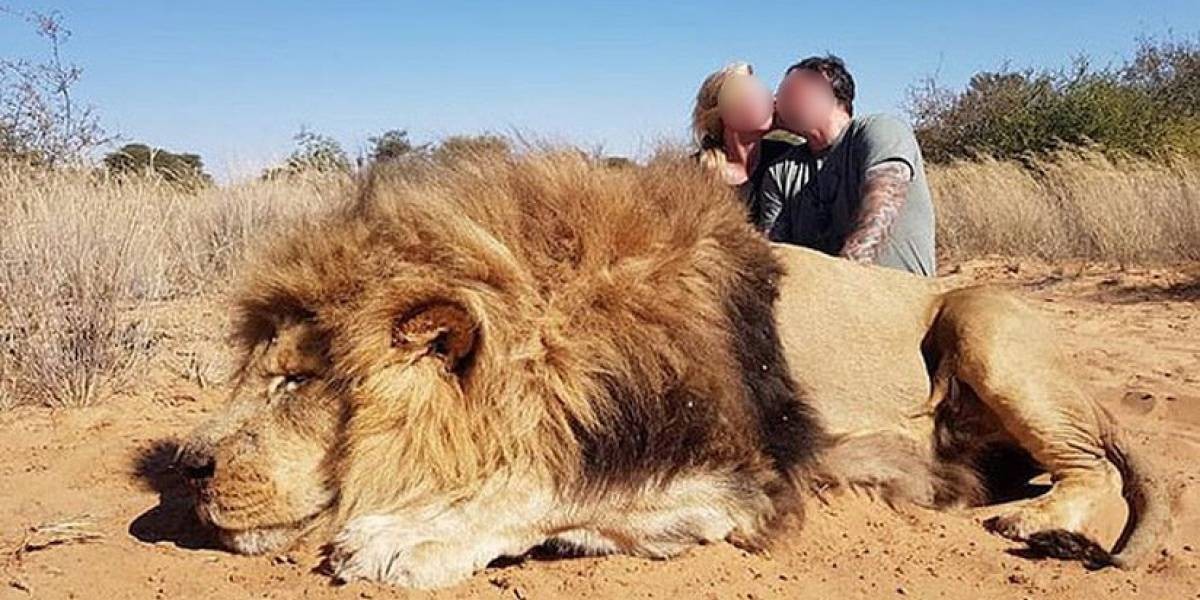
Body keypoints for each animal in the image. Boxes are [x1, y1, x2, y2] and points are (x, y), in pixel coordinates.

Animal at [176, 150, 1169, 589]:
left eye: (296, 381)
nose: (189, 468)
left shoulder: (749, 476)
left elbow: (548, 484)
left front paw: (407, 538)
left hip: (980, 318)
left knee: (1093, 469)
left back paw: (1036, 522)